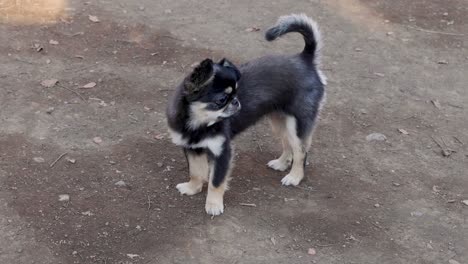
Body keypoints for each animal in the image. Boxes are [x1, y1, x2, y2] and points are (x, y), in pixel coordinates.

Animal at [167, 13, 326, 214]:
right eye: (222, 99)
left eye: (235, 92)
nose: (236, 102)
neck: (198, 124)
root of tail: (305, 59)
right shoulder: (192, 148)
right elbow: (196, 172)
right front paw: (192, 188)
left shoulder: (222, 152)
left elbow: (215, 181)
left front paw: (213, 204)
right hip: (280, 121)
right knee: (288, 145)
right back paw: (281, 164)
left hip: (297, 124)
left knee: (301, 152)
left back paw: (295, 176)